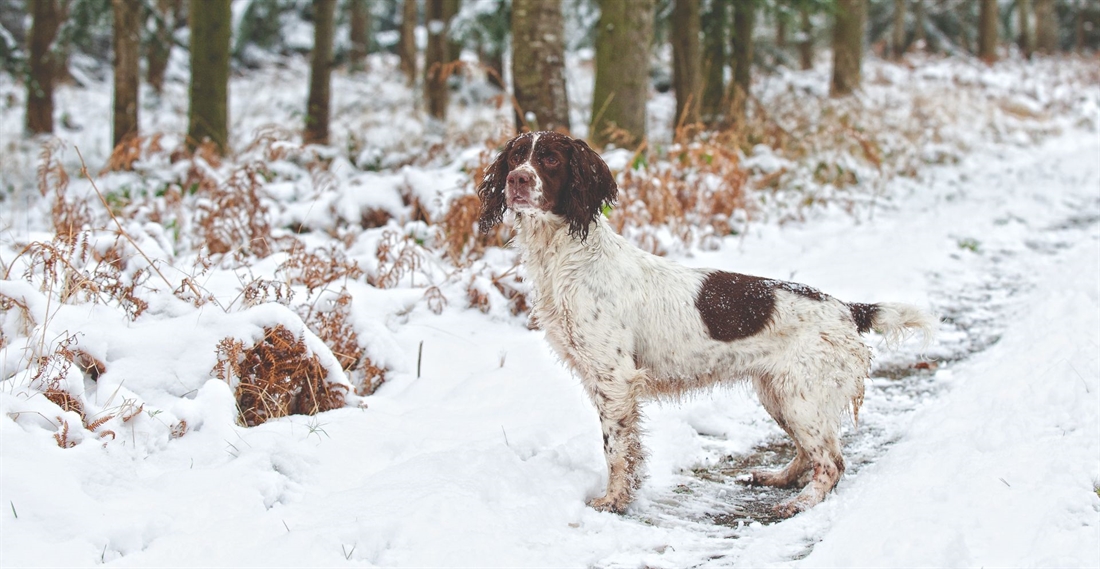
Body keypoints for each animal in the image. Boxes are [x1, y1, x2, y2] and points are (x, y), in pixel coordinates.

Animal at [477, 132, 932, 515]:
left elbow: (616, 450)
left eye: (550, 159)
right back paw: (779, 479)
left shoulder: (615, 379)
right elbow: (627, 449)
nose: (517, 180)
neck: (567, 259)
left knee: (833, 462)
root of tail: (848, 308)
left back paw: (799, 503)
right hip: (779, 393)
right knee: (809, 452)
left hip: (801, 394)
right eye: (516, 156)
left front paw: (613, 502)